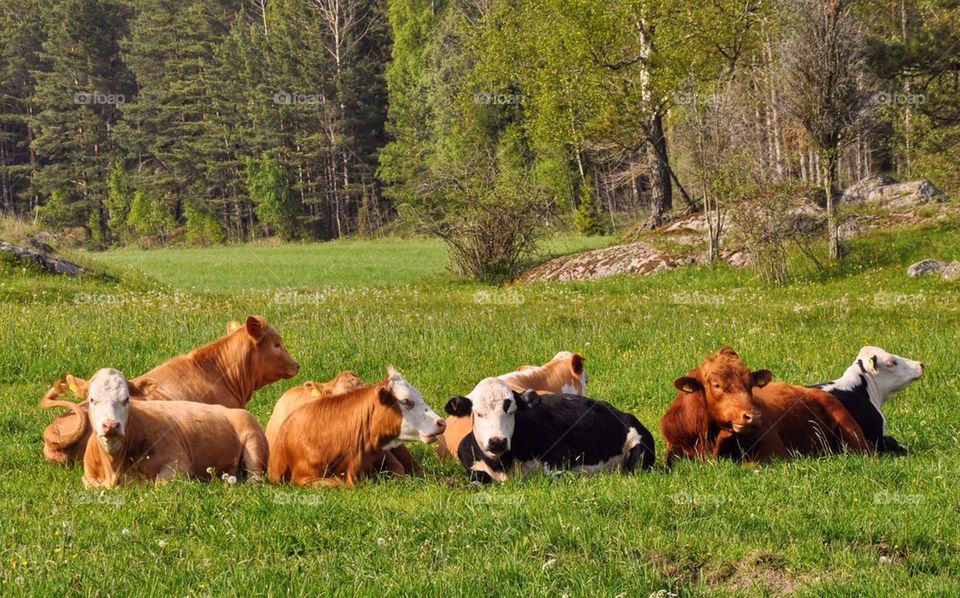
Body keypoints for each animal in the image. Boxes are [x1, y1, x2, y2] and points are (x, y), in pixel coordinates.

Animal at [81, 368, 268, 488]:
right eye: (92, 400)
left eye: (126, 399)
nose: (111, 425)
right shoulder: (87, 478)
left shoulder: (179, 464)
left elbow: (159, 485)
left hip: (254, 442)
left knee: (255, 479)